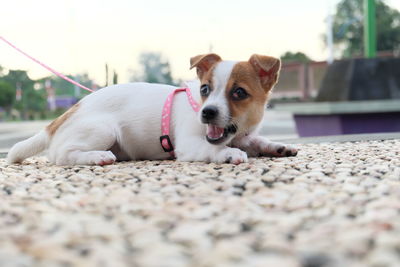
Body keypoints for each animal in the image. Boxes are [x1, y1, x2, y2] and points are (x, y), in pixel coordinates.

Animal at [7, 53, 296, 166]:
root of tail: (59, 119)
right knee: (61, 155)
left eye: (239, 93)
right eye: (205, 89)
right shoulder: (189, 144)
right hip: (103, 130)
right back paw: (97, 157)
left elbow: (258, 140)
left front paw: (278, 146)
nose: (208, 112)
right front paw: (228, 153)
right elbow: (214, 148)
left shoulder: (245, 135)